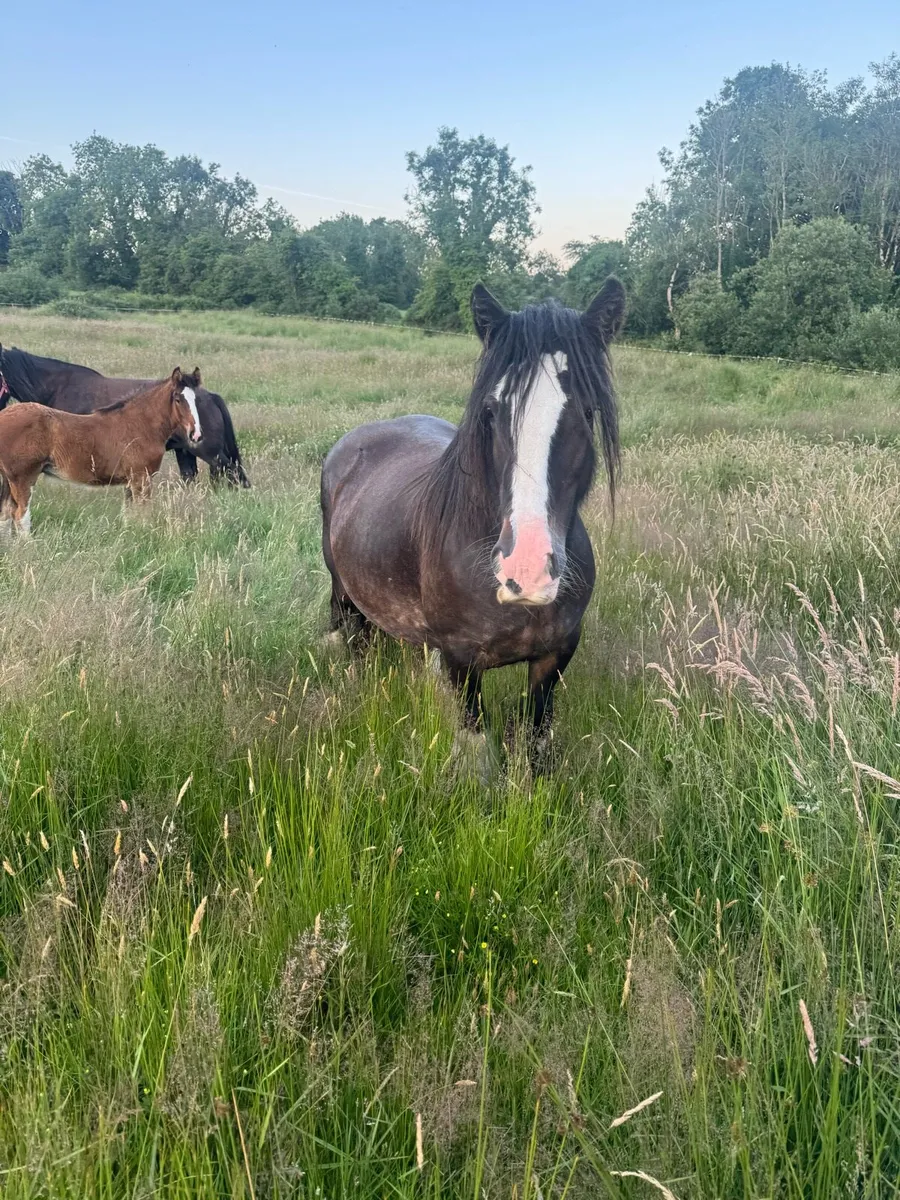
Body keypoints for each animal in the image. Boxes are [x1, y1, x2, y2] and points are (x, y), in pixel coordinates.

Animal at [0, 367, 202, 534]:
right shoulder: (141, 478)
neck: (140, 425)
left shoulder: (131, 481)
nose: (196, 434)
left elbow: (129, 516)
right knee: (20, 516)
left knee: (5, 514)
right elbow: (142, 514)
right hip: (23, 478)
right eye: (178, 399)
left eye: (197, 400)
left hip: (8, 480)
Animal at [321, 278, 626, 765]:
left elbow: (536, 742)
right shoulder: (462, 661)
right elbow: (476, 751)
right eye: (491, 410)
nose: (527, 570)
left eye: (588, 411)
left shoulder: (555, 658)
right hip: (344, 595)